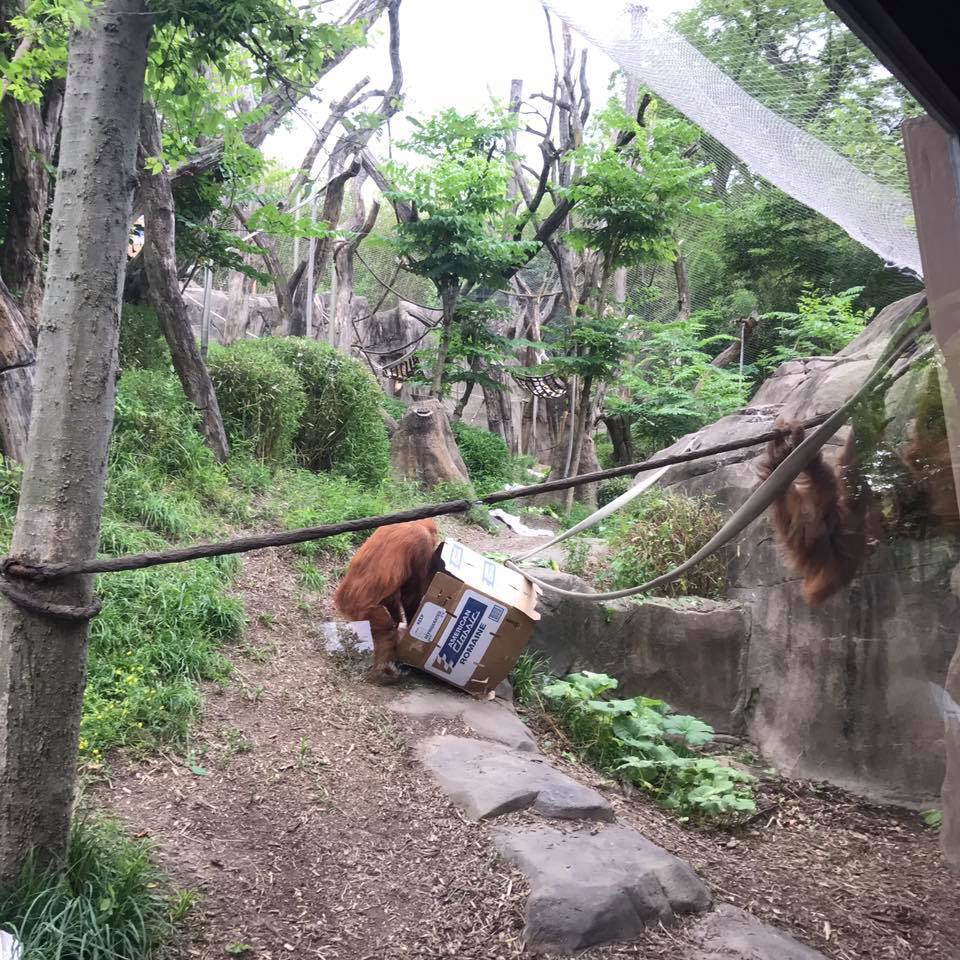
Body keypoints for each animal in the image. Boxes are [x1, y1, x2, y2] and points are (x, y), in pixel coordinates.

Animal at [334, 519, 445, 683]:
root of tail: (342, 600)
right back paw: (382, 672)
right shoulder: (422, 544)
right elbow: (410, 596)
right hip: (365, 611)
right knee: (386, 629)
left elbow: (393, 596)